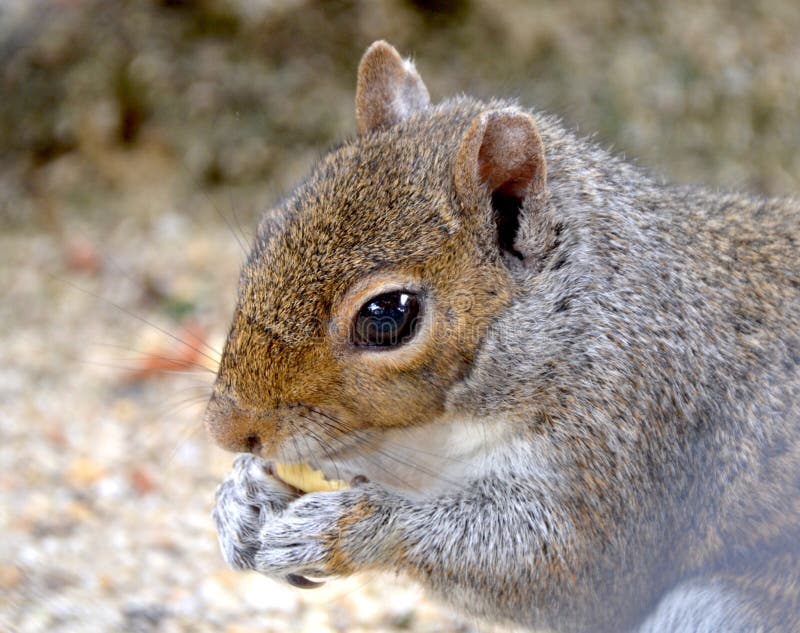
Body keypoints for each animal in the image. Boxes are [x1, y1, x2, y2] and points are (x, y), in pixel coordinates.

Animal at [205, 41, 800, 632]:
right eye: (268, 228)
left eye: (386, 316)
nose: (229, 430)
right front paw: (241, 499)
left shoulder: (630, 434)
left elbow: (559, 568)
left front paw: (346, 524)